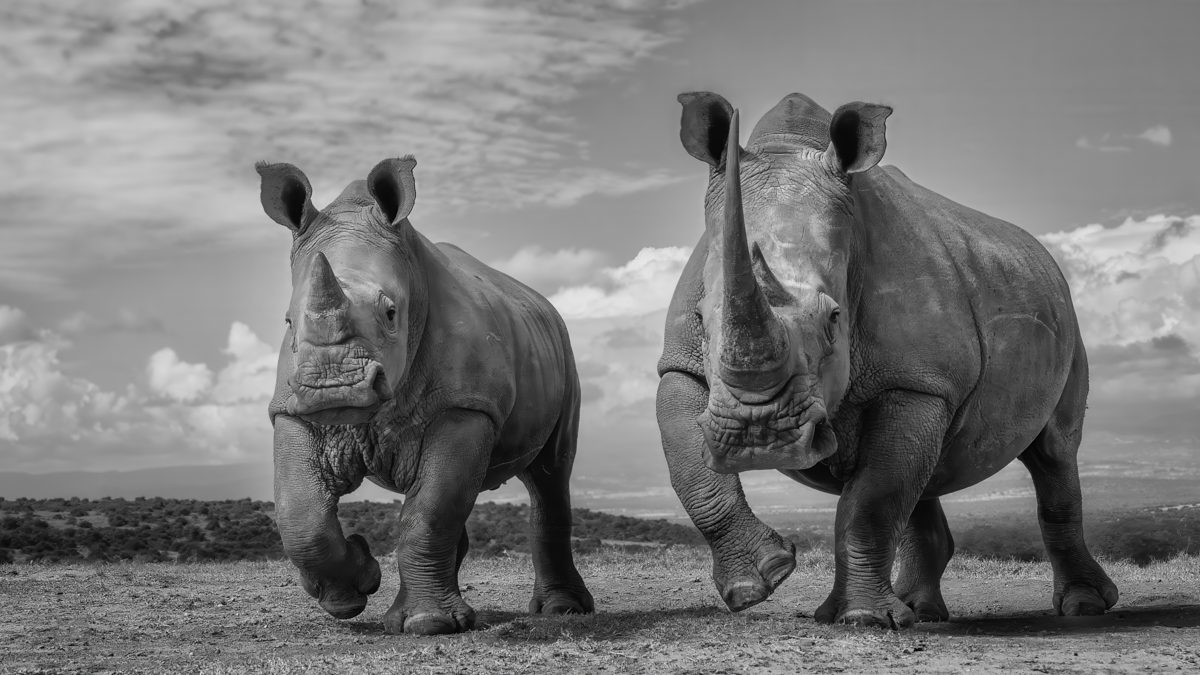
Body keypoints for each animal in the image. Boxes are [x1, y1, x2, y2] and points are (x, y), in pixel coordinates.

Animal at [256, 157, 593, 635]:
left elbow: (431, 511)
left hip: (563, 351)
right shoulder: (292, 409)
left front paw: (426, 623)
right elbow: (299, 513)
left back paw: (561, 610)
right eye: (288, 322)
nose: (333, 387)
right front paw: (353, 592)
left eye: (391, 313)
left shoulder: (465, 406)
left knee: (550, 473)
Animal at [656, 92, 1118, 628]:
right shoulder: (680, 365)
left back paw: (1083, 608)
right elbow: (691, 470)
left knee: (1055, 452)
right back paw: (920, 610)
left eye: (835, 319)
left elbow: (873, 501)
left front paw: (863, 620)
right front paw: (759, 582)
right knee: (929, 468)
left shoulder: (916, 381)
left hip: (1067, 326)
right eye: (700, 317)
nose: (760, 436)